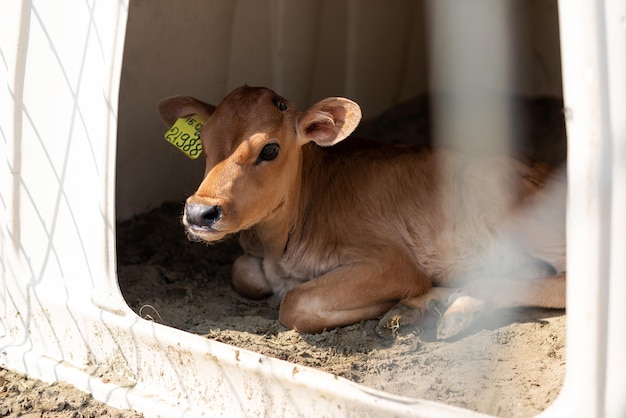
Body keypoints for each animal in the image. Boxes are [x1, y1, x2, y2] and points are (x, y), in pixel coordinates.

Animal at [157, 85, 564, 340]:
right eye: (203, 142)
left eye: (269, 150)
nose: (200, 212)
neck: (281, 249)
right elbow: (243, 272)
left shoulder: (392, 262)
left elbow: (295, 302)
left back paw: (444, 306)